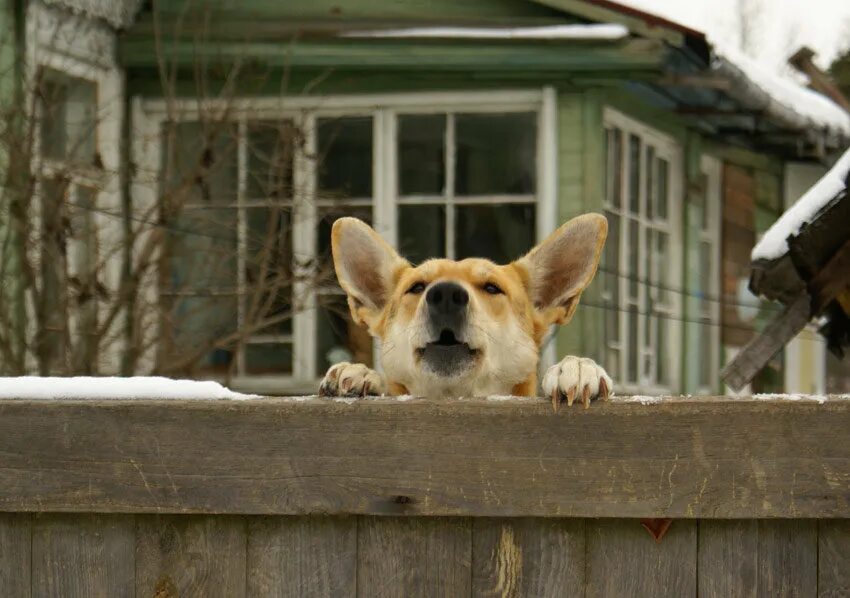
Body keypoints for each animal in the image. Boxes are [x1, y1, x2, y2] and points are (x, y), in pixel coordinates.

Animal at [318, 217, 608, 412]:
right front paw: (357, 373)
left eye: (492, 288)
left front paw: (578, 367)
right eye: (417, 287)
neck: (456, 396)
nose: (446, 295)